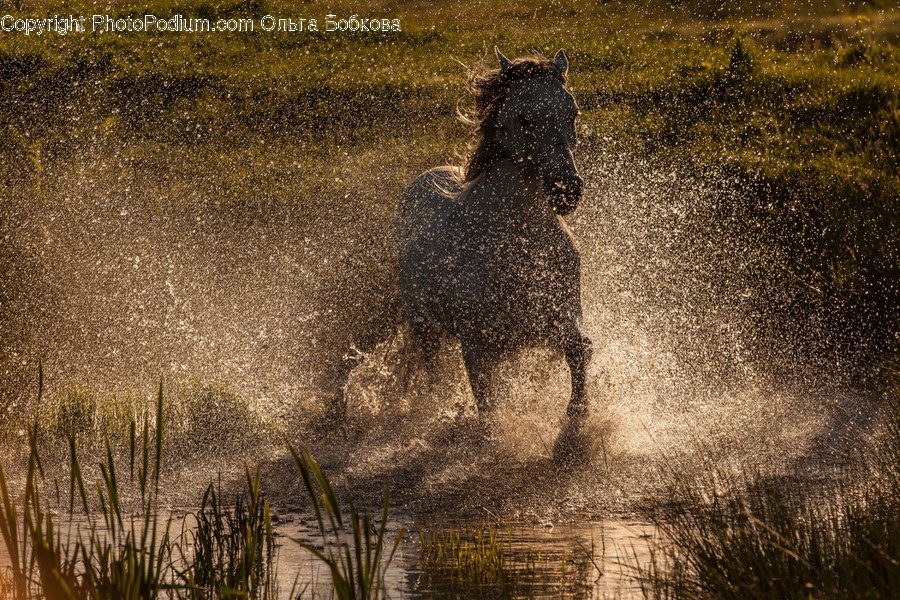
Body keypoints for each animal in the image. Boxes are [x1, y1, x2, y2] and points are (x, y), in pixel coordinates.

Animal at [394, 48, 592, 421]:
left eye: (572, 112)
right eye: (524, 118)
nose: (566, 190)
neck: (518, 243)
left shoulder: (556, 319)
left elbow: (579, 350)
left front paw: (577, 416)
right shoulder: (477, 347)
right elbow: (488, 410)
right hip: (423, 323)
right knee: (432, 368)